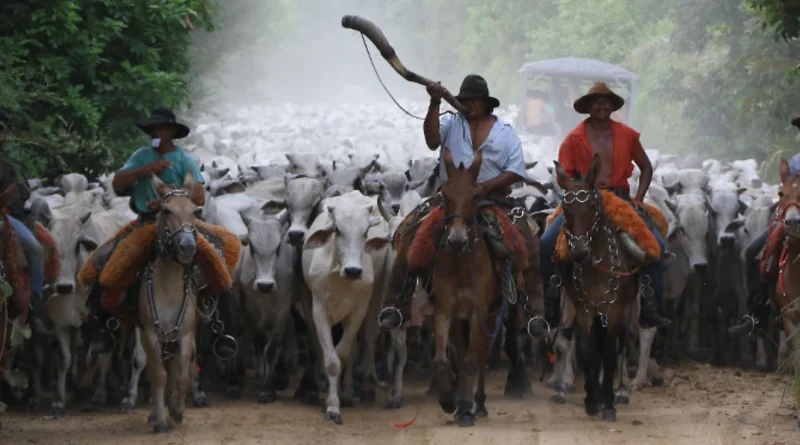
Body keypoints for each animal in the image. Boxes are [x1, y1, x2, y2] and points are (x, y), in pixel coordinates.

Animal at [552, 155, 640, 420]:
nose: (580, 251)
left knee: (625, 342)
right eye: (566, 208)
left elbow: (610, 353)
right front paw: (592, 400)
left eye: (592, 206)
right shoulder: (584, 311)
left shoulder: (615, 310)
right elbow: (586, 351)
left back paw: (619, 391)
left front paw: (608, 404)